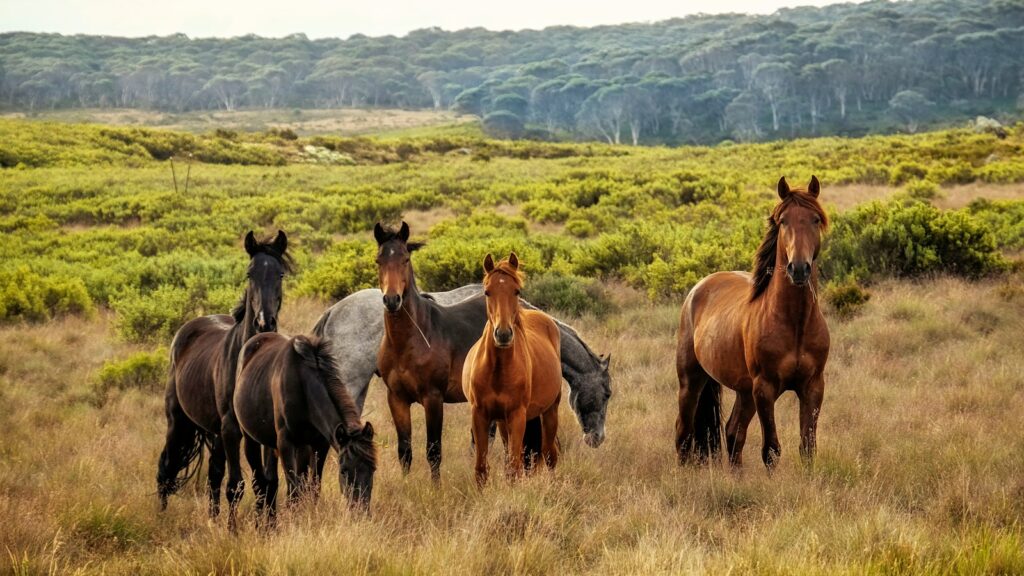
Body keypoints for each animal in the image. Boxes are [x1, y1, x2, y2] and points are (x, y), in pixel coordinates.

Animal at [156, 230, 290, 515]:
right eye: (250, 273)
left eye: (280, 274)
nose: (264, 322)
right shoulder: (231, 429)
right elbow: (237, 486)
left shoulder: (262, 432)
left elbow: (267, 484)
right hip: (179, 422)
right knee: (166, 468)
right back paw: (160, 517)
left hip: (214, 432)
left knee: (213, 476)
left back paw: (213, 519)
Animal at [233, 333, 377, 520]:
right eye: (344, 471)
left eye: (373, 469)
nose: (361, 512)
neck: (303, 385)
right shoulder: (285, 443)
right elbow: (293, 491)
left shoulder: (320, 445)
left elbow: (313, 487)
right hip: (251, 439)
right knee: (260, 483)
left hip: (286, 445)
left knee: (273, 482)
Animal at [463, 253, 562, 485]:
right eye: (487, 292)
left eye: (516, 290)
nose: (503, 334)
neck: (498, 370)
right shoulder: (480, 415)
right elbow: (481, 469)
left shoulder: (517, 416)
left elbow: (514, 468)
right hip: (502, 422)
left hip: (550, 411)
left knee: (549, 455)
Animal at [675, 176, 830, 469]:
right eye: (783, 221)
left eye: (815, 219)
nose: (799, 268)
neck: (795, 323)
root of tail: (698, 288)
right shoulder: (765, 389)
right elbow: (771, 450)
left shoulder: (813, 387)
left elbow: (808, 447)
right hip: (691, 380)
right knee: (683, 433)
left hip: (744, 391)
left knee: (733, 432)